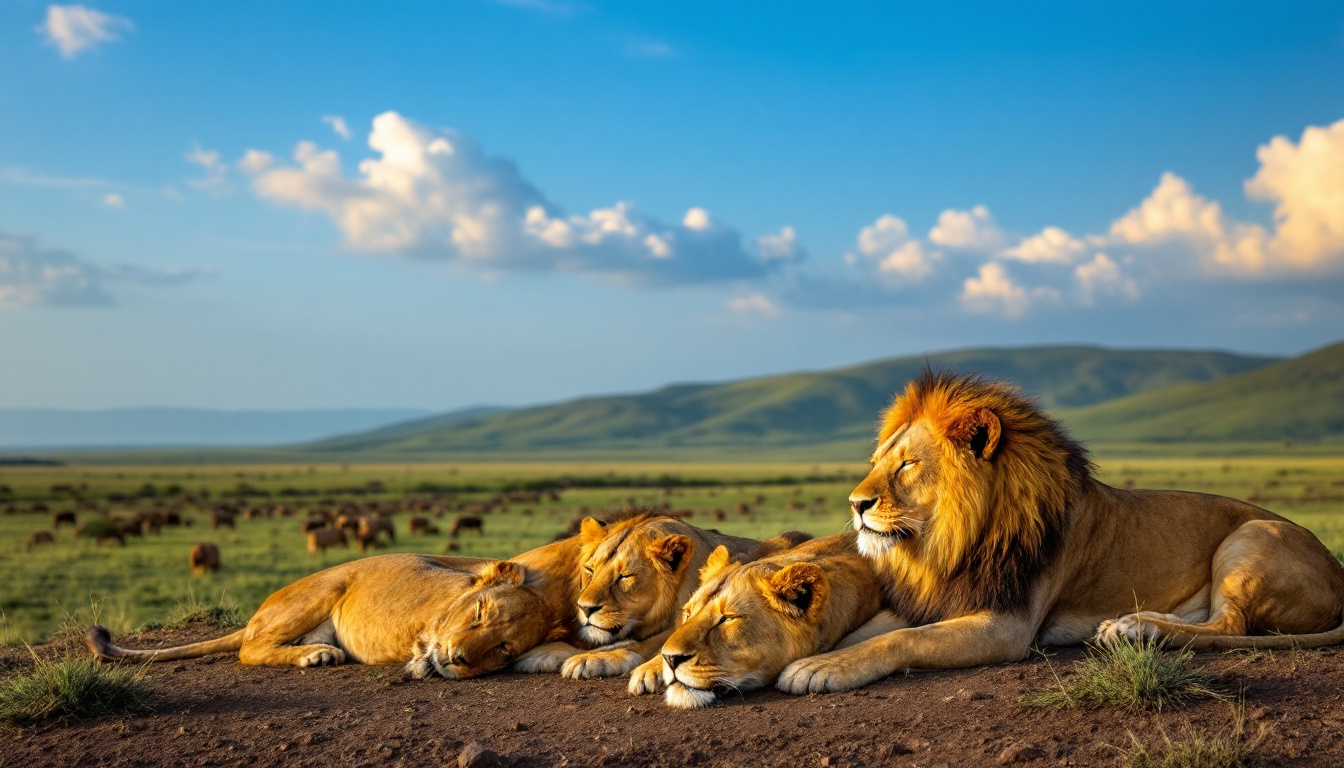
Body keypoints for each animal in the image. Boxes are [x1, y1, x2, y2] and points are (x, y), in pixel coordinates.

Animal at [86, 535, 585, 677]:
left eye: (504, 648)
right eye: (480, 613)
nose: (458, 657)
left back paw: (314, 651)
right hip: (325, 588)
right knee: (249, 647)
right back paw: (316, 654)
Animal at [513, 513, 768, 683]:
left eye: (624, 576)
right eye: (590, 570)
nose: (584, 608)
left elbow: (652, 644)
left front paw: (595, 661)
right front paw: (544, 653)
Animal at [779, 373, 1344, 699]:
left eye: (908, 464)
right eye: (876, 462)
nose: (855, 504)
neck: (953, 543)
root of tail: (1338, 574)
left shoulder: (1006, 625)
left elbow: (899, 639)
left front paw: (820, 669)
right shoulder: (937, 600)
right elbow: (864, 632)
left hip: (1251, 535)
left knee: (1229, 626)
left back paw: (1139, 629)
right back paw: (1134, 622)